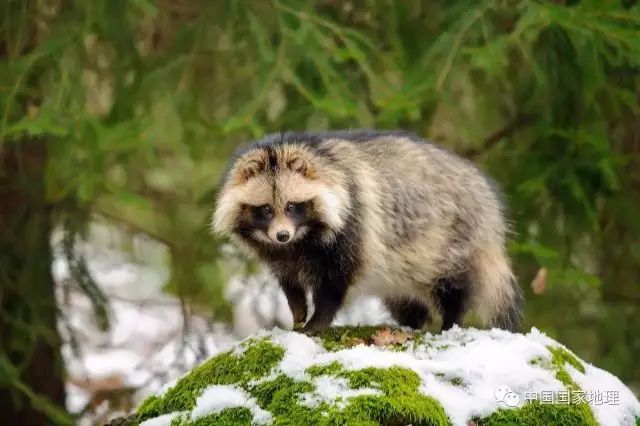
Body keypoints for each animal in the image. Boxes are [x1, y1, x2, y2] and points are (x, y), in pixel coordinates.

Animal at [212, 130, 524, 332]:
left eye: (291, 207)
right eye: (266, 209)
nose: (282, 235)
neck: (301, 240)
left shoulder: (354, 224)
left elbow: (335, 283)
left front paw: (317, 321)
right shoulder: (279, 254)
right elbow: (290, 283)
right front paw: (298, 312)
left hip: (453, 239)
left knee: (454, 287)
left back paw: (451, 322)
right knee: (406, 301)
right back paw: (412, 323)